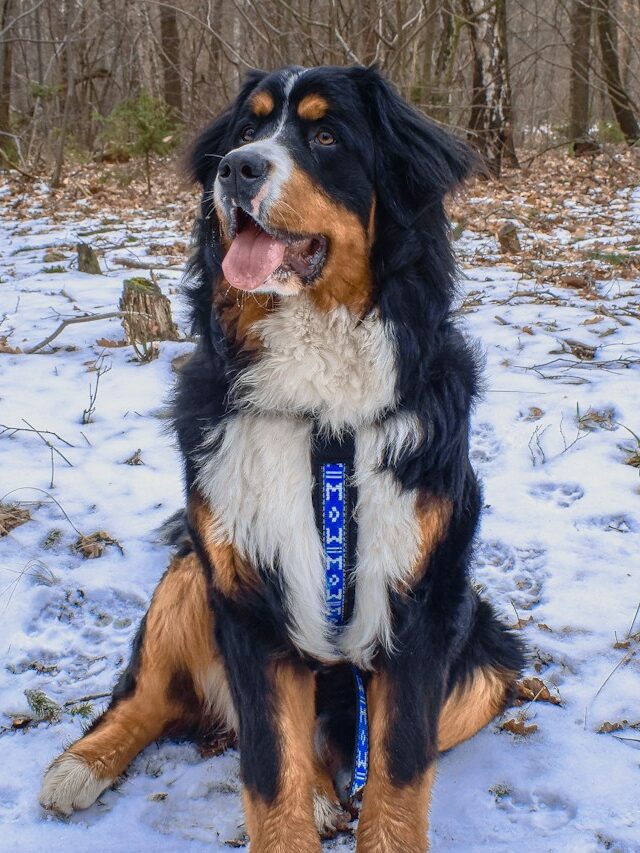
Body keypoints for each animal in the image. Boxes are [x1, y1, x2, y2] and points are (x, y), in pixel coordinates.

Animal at [40, 63, 524, 848]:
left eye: (326, 136)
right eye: (247, 129)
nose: (237, 169)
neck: (322, 415)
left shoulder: (421, 598)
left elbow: (397, 769)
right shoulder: (244, 591)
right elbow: (270, 769)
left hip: (485, 656)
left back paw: (328, 790)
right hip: (191, 575)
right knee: (147, 698)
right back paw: (79, 766)